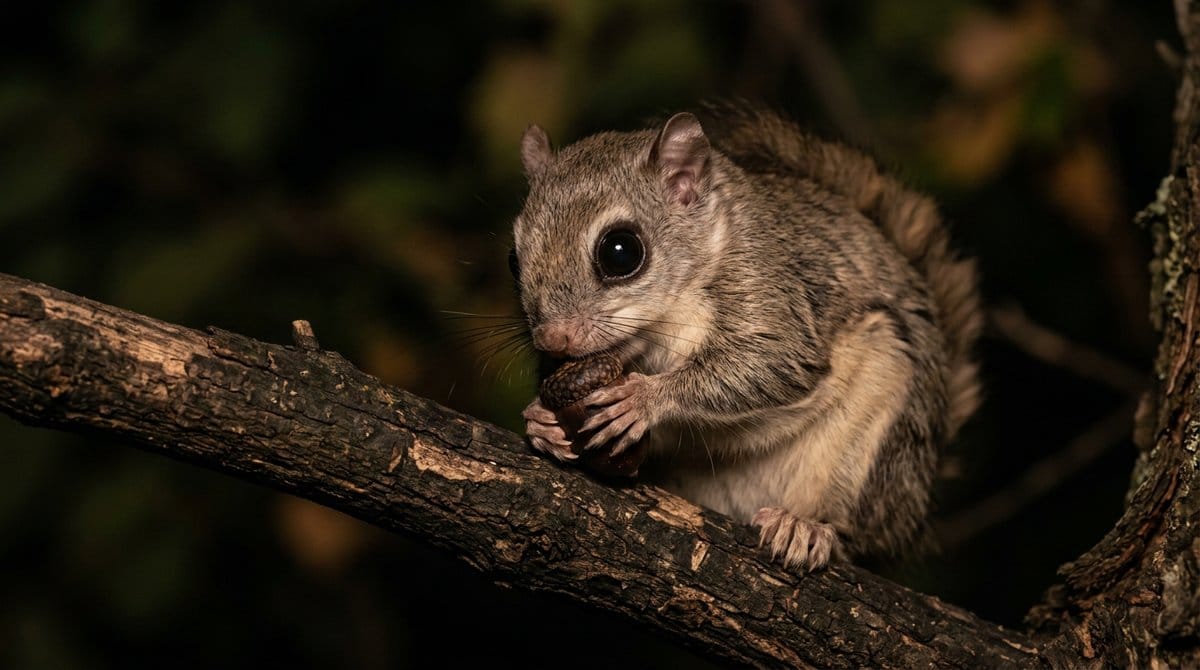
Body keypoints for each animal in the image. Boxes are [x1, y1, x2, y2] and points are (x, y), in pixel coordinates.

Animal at [511, 106, 981, 570]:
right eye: (514, 258)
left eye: (620, 251)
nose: (553, 339)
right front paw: (541, 421)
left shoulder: (769, 284)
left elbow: (772, 360)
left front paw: (642, 399)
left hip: (879, 427)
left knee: (854, 530)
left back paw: (806, 527)